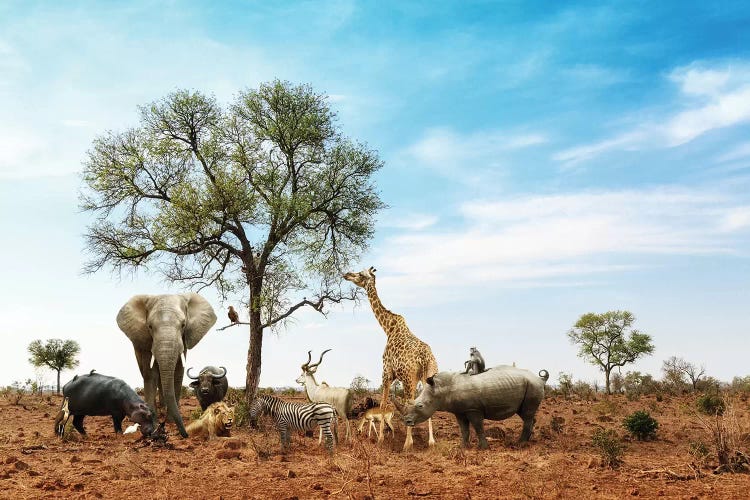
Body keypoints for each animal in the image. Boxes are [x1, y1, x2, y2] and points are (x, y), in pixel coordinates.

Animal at [117, 292, 217, 438]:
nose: (186, 434)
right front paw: (153, 421)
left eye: (183, 325)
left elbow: (178, 373)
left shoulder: (184, 340)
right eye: (150, 326)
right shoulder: (147, 343)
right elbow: (150, 374)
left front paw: (170, 421)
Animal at [344, 268, 438, 452]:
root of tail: (426, 357)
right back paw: (431, 442)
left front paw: (380, 439)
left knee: (411, 402)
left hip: (409, 378)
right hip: (427, 376)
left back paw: (408, 444)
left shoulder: (386, 372)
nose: (347, 274)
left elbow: (382, 404)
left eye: (360, 274)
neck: (388, 328)